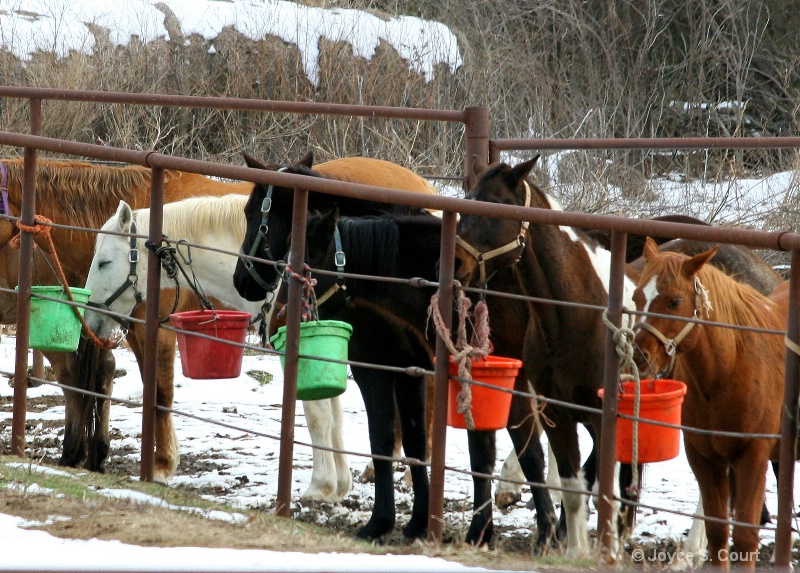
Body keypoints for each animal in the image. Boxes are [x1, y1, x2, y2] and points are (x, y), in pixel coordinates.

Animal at [83, 197, 354, 500]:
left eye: (104, 262)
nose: (89, 318)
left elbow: (318, 415)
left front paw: (321, 486)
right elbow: (334, 414)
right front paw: (340, 484)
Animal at [636, 237, 792, 568]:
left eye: (675, 302)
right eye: (636, 296)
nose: (639, 355)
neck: (731, 366)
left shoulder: (752, 456)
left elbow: (745, 537)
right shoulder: (704, 457)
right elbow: (718, 532)